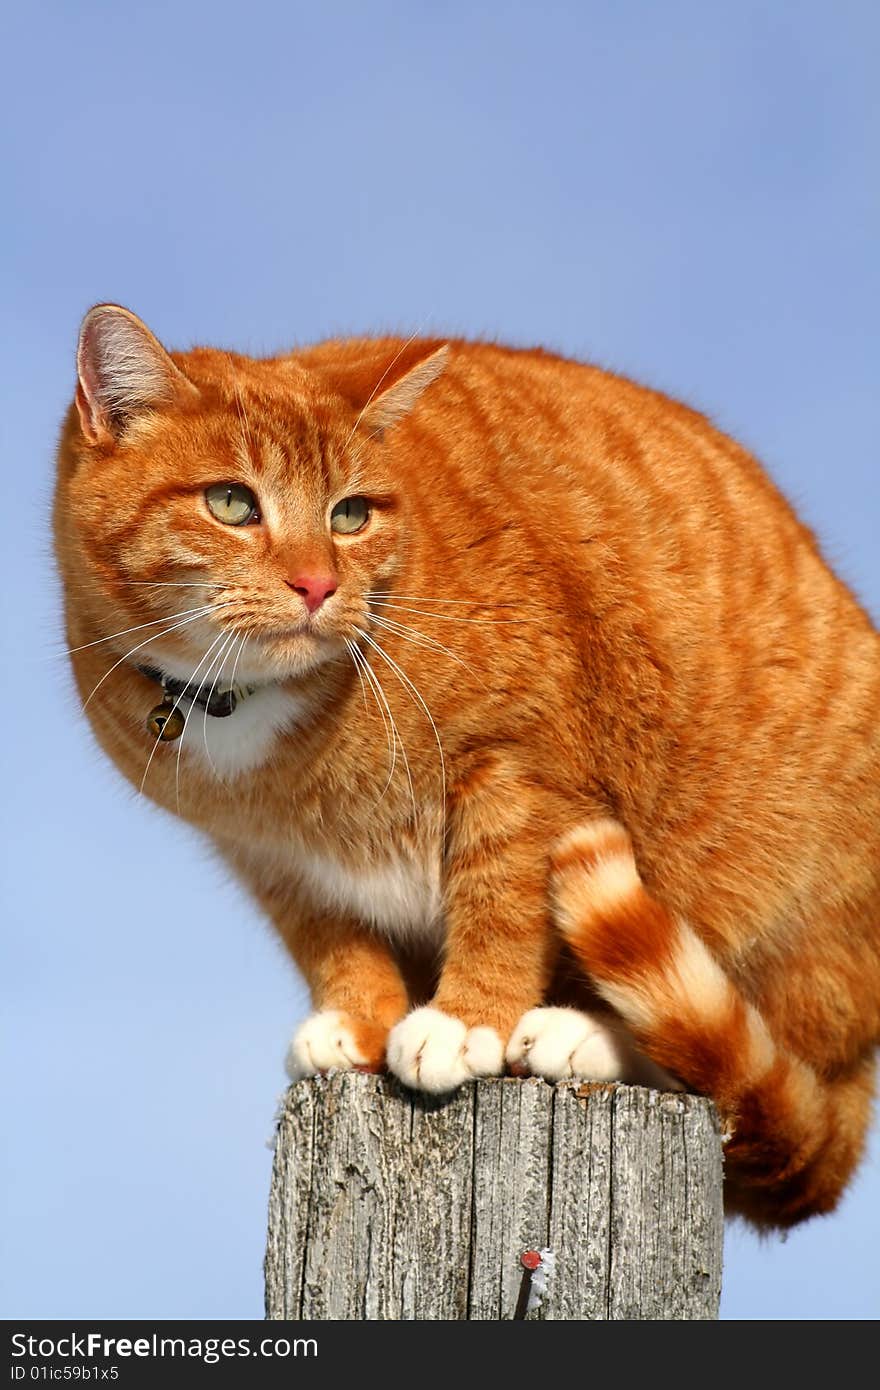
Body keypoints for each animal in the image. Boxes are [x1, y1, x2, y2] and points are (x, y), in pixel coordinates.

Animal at [56, 304, 878, 1228]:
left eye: (350, 514)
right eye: (232, 502)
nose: (316, 585)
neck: (252, 706)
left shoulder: (524, 770)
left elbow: (501, 902)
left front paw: (464, 1021)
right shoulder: (270, 858)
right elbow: (333, 941)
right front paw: (360, 1021)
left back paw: (583, 1034)